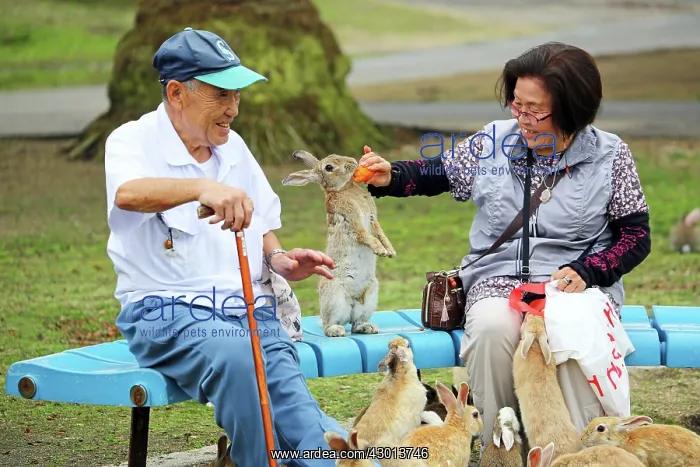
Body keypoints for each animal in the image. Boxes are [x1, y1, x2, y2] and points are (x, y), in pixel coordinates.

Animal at [282, 149, 396, 338]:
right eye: (329, 167)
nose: (353, 162)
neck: (344, 189)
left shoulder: (372, 219)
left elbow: (380, 233)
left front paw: (390, 251)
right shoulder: (352, 221)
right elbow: (367, 236)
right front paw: (380, 250)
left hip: (370, 295)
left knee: (356, 324)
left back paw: (367, 327)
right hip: (335, 298)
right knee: (330, 324)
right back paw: (336, 330)